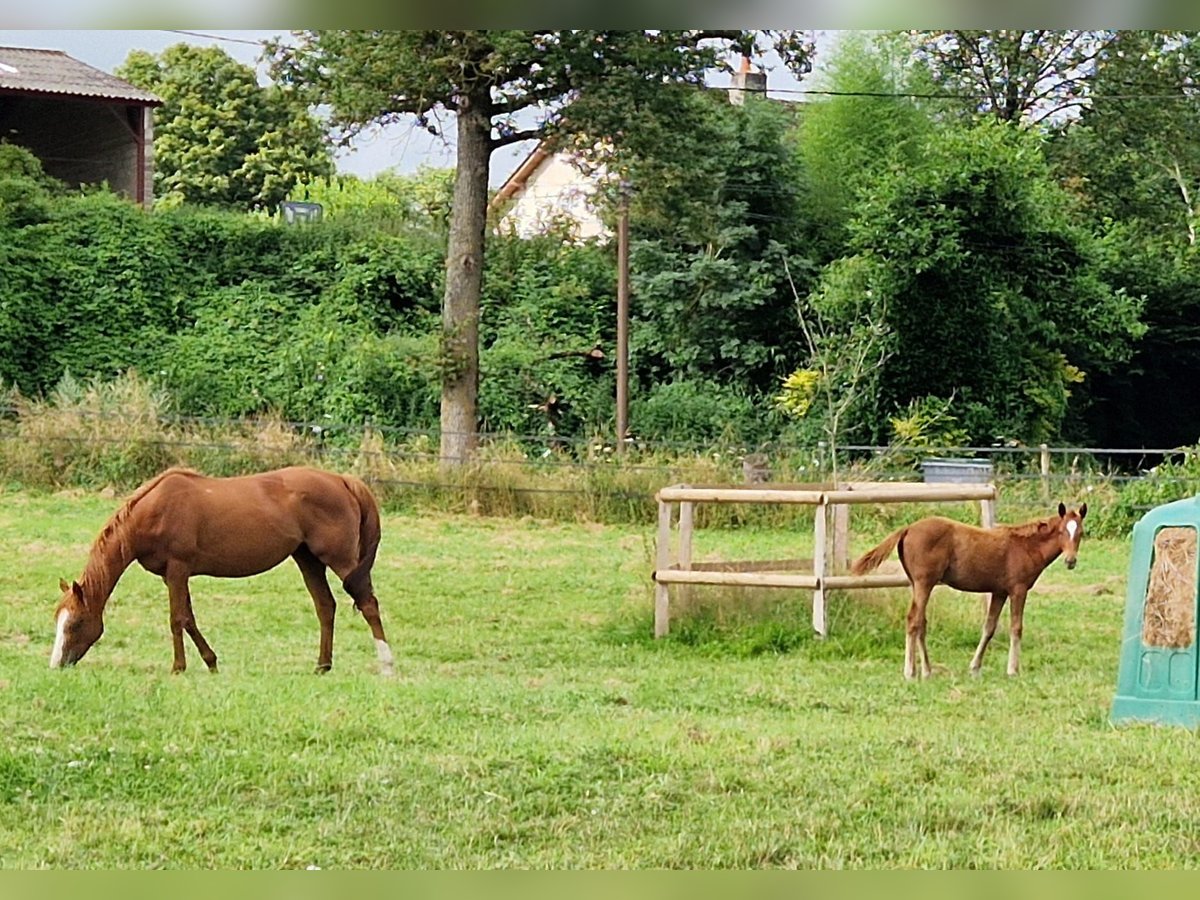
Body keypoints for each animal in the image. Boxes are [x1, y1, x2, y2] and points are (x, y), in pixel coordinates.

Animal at [48, 465, 393, 676]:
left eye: (76, 623)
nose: (56, 665)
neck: (154, 511)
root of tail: (343, 480)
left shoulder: (178, 569)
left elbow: (176, 619)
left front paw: (178, 668)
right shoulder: (173, 576)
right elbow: (188, 619)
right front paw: (211, 663)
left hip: (341, 560)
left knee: (368, 604)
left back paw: (387, 665)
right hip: (308, 560)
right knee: (325, 606)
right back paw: (322, 666)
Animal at [854, 501, 1089, 681]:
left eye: (1080, 533)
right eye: (1062, 531)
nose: (1070, 561)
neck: (1025, 546)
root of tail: (908, 528)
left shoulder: (999, 592)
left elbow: (989, 627)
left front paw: (975, 668)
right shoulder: (1018, 590)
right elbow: (1016, 628)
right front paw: (1012, 670)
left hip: (917, 584)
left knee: (921, 622)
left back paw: (928, 671)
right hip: (923, 583)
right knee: (913, 620)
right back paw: (910, 672)